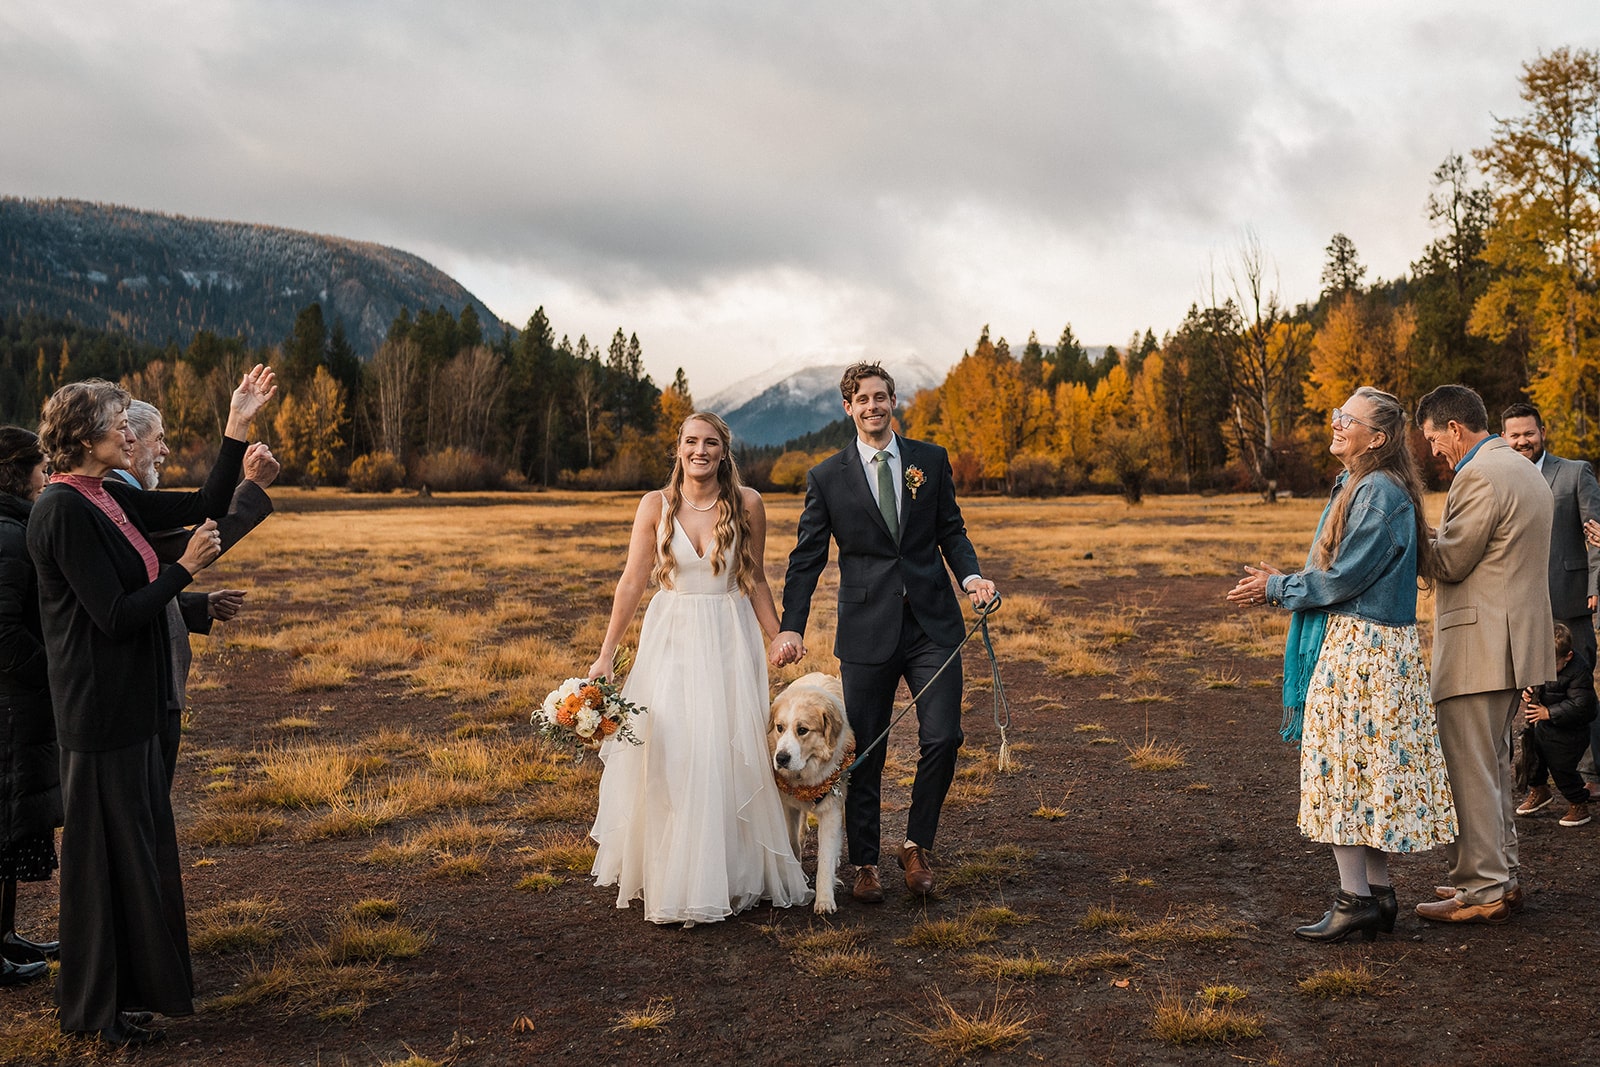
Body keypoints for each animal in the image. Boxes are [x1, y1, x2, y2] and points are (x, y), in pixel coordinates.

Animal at [768, 671, 857, 915]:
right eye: (780, 727)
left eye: (802, 730)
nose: (781, 758)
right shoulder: (787, 804)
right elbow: (791, 842)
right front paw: (795, 878)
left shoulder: (831, 810)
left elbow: (825, 857)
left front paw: (825, 900)